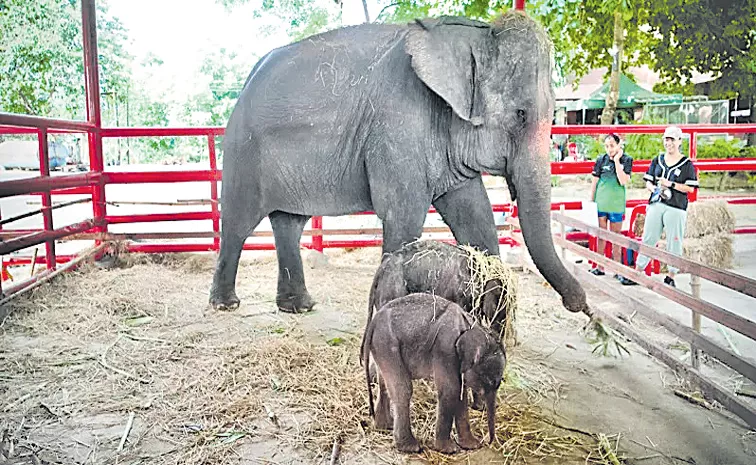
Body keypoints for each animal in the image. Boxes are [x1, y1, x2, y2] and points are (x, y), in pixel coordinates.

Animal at [210, 10, 588, 316]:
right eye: (520, 114)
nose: (580, 306)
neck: (472, 33)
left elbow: (475, 216)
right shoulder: (398, 126)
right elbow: (403, 218)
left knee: (289, 223)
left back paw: (299, 307)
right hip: (243, 151)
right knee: (240, 223)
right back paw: (226, 304)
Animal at [362, 294, 504, 454]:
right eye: (489, 381)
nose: (487, 442)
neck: (472, 327)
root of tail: (373, 322)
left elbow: (461, 394)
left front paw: (472, 445)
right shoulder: (445, 349)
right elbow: (451, 390)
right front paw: (449, 450)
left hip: (380, 346)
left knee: (384, 384)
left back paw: (385, 427)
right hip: (387, 343)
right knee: (402, 390)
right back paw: (411, 447)